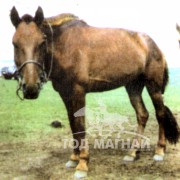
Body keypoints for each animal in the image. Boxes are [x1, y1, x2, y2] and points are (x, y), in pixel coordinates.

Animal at [10, 6, 179, 178]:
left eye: (42, 42)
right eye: (15, 43)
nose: (31, 88)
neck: (65, 46)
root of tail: (152, 44)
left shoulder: (78, 92)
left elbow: (80, 125)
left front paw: (82, 164)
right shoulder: (66, 94)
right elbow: (73, 124)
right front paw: (74, 158)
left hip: (153, 87)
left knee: (160, 114)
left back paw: (159, 151)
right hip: (133, 87)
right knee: (142, 114)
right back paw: (132, 153)